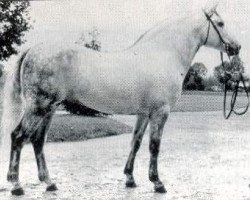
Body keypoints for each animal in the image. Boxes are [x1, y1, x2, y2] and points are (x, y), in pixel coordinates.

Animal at [0, 4, 240, 195]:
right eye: (220, 23)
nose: (236, 47)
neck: (162, 54)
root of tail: (33, 49)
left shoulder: (144, 113)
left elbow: (136, 142)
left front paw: (130, 179)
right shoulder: (160, 112)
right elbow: (154, 146)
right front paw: (157, 182)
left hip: (49, 108)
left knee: (38, 141)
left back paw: (49, 183)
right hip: (38, 106)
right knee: (19, 137)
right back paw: (16, 185)